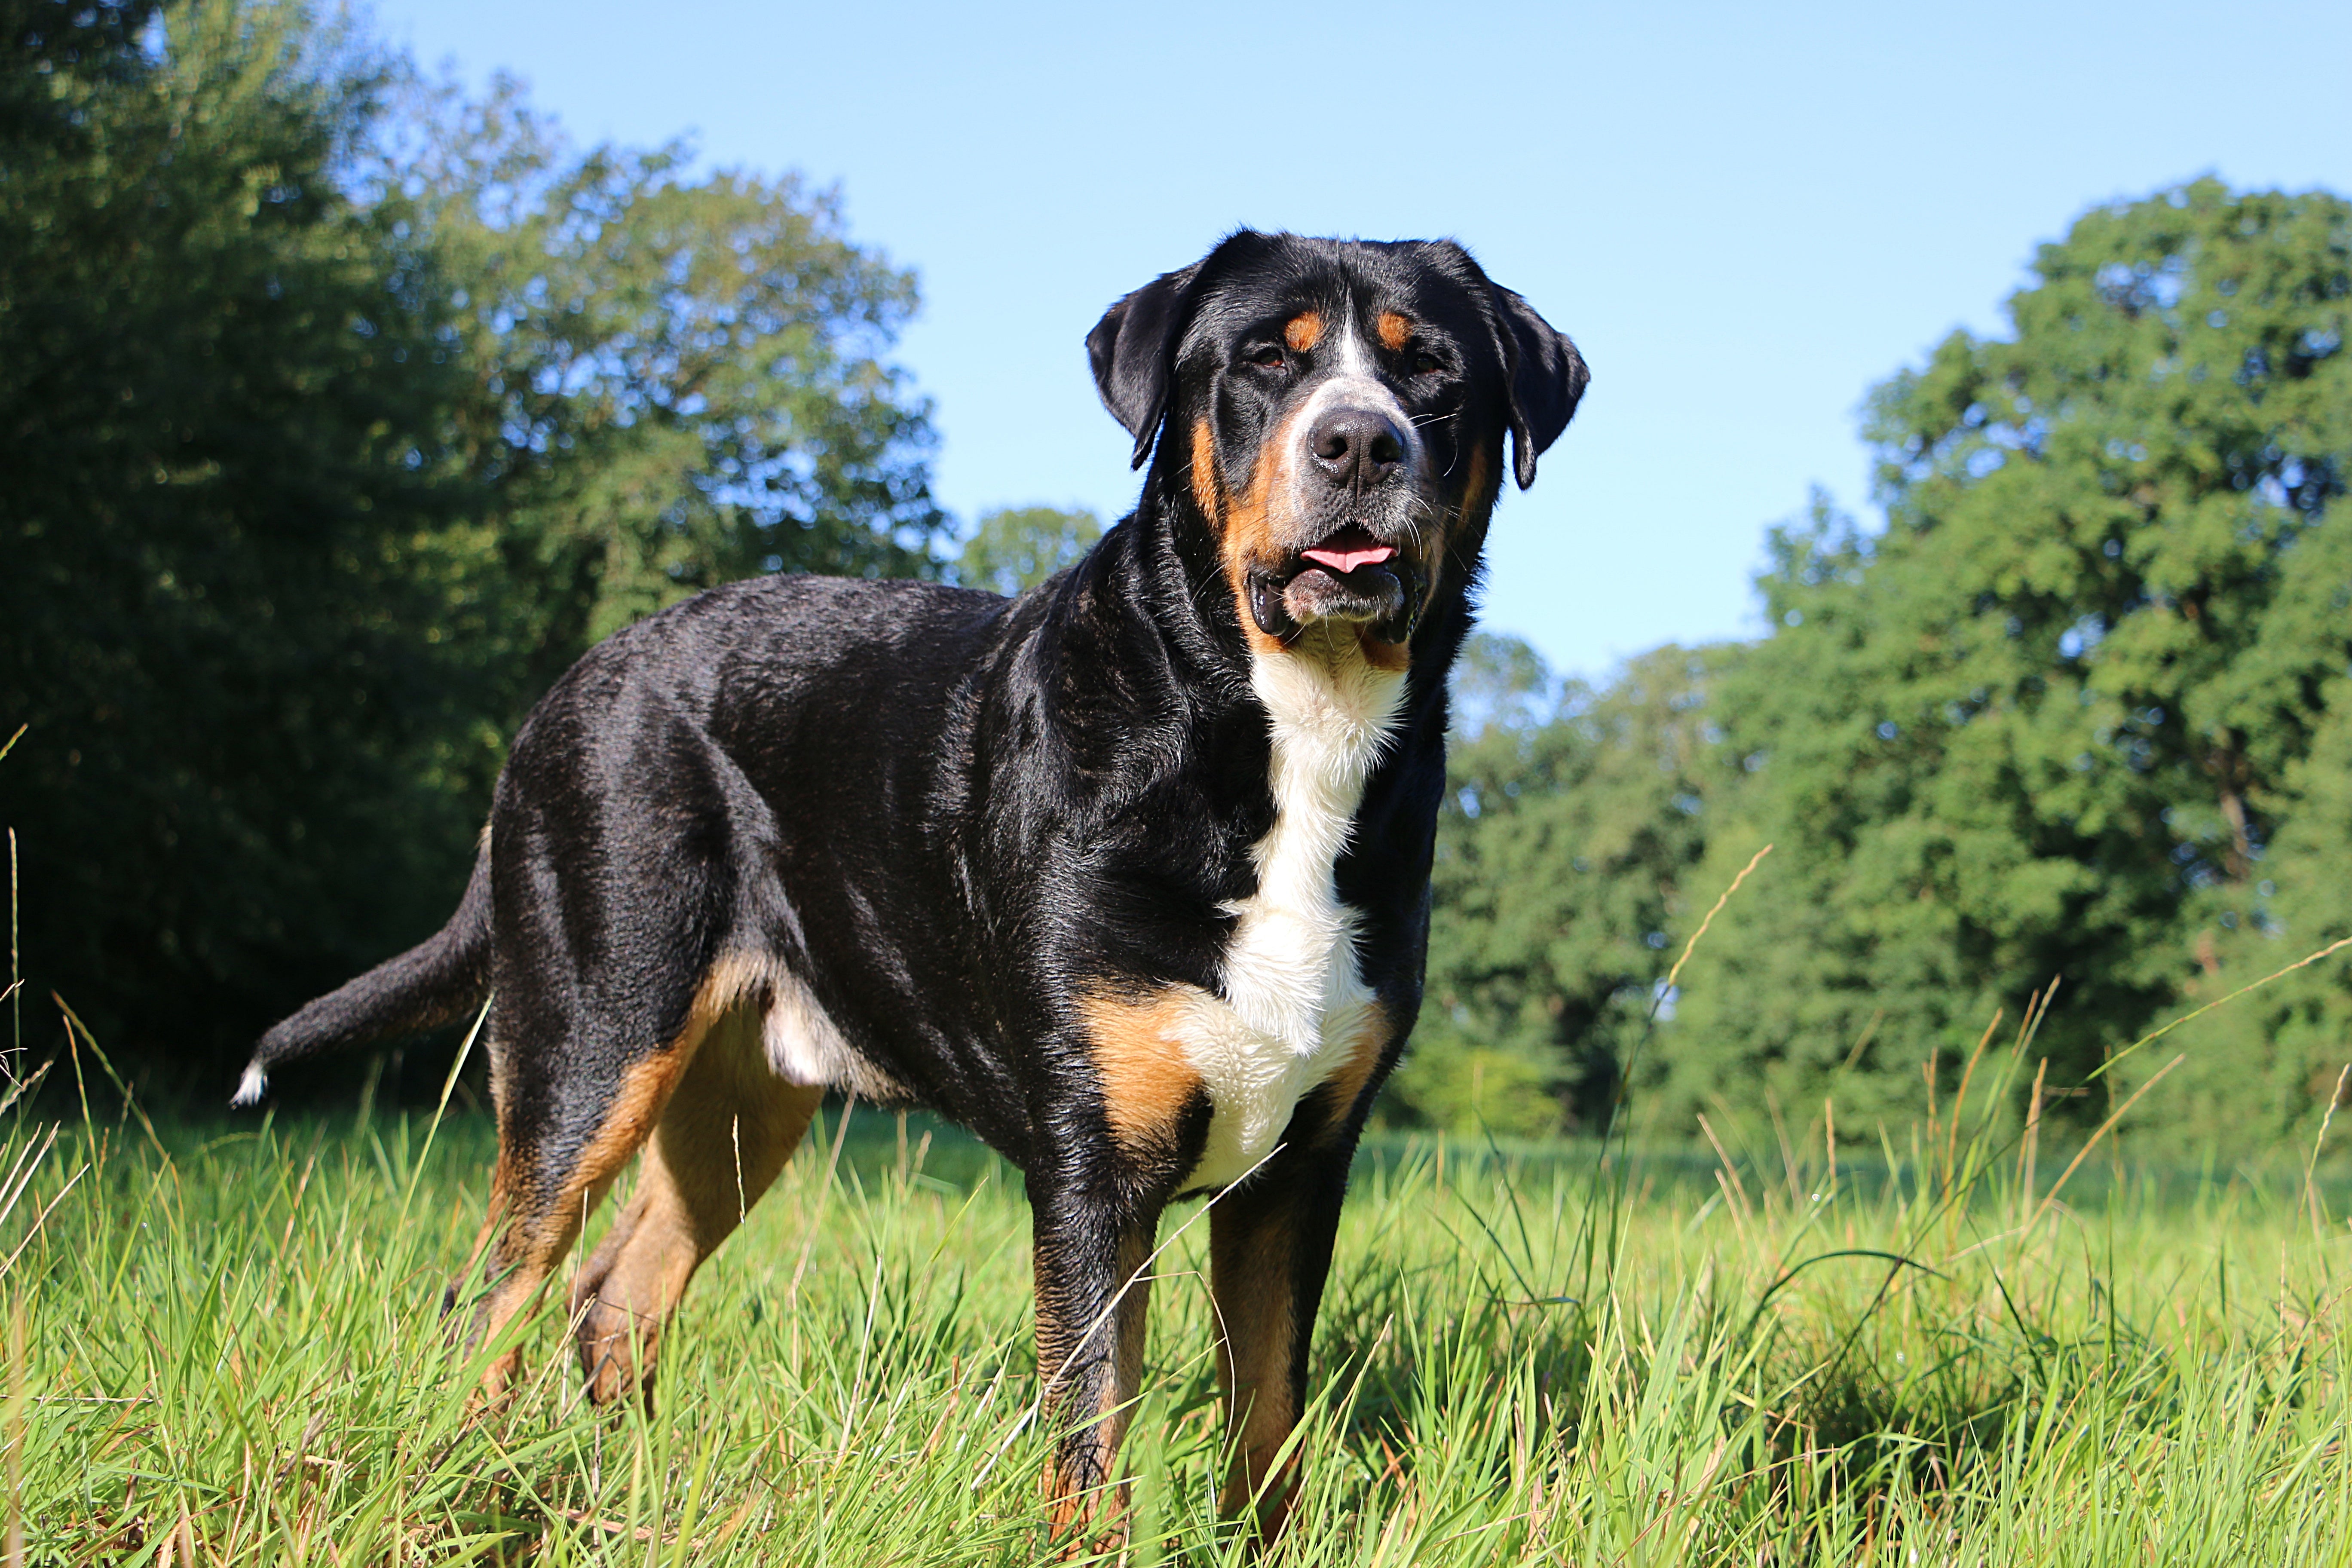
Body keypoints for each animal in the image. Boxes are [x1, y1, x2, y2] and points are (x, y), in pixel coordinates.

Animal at [239, 233, 1580, 1542]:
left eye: (1428, 369)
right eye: (1265, 360)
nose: (1357, 440)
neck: (1284, 736)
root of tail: (571, 685)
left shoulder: (1299, 1172)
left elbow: (1269, 1432)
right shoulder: (1093, 1173)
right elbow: (1090, 1449)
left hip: (738, 1106)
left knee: (614, 1294)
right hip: (595, 1046)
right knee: (494, 1297)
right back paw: (470, 1489)